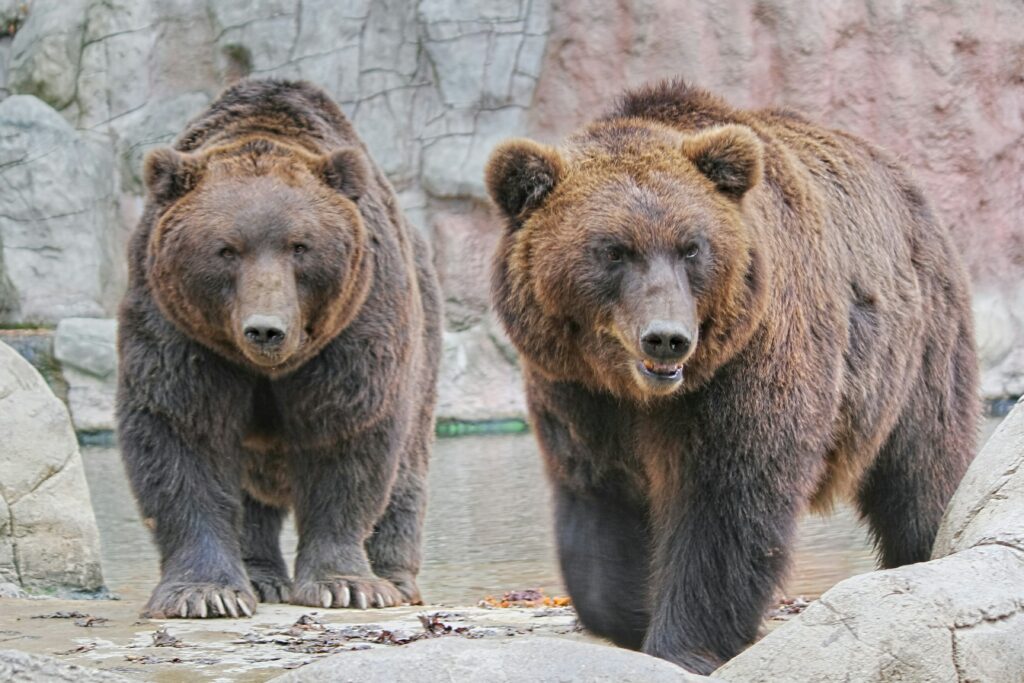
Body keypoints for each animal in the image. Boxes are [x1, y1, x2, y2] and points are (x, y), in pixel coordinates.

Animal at [117, 80, 442, 618]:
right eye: (226, 249)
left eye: (300, 246)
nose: (266, 330)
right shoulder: (178, 328)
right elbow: (182, 430)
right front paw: (205, 594)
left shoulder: (354, 325)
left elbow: (346, 435)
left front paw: (346, 585)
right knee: (250, 491)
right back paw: (260, 576)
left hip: (424, 340)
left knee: (407, 467)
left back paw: (395, 578)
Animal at [483, 80, 978, 671]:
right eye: (613, 251)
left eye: (691, 247)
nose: (667, 337)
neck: (639, 392)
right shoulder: (578, 393)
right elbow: (601, 496)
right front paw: (629, 614)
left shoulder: (747, 364)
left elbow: (726, 500)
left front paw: (684, 643)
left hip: (914, 348)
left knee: (923, 467)